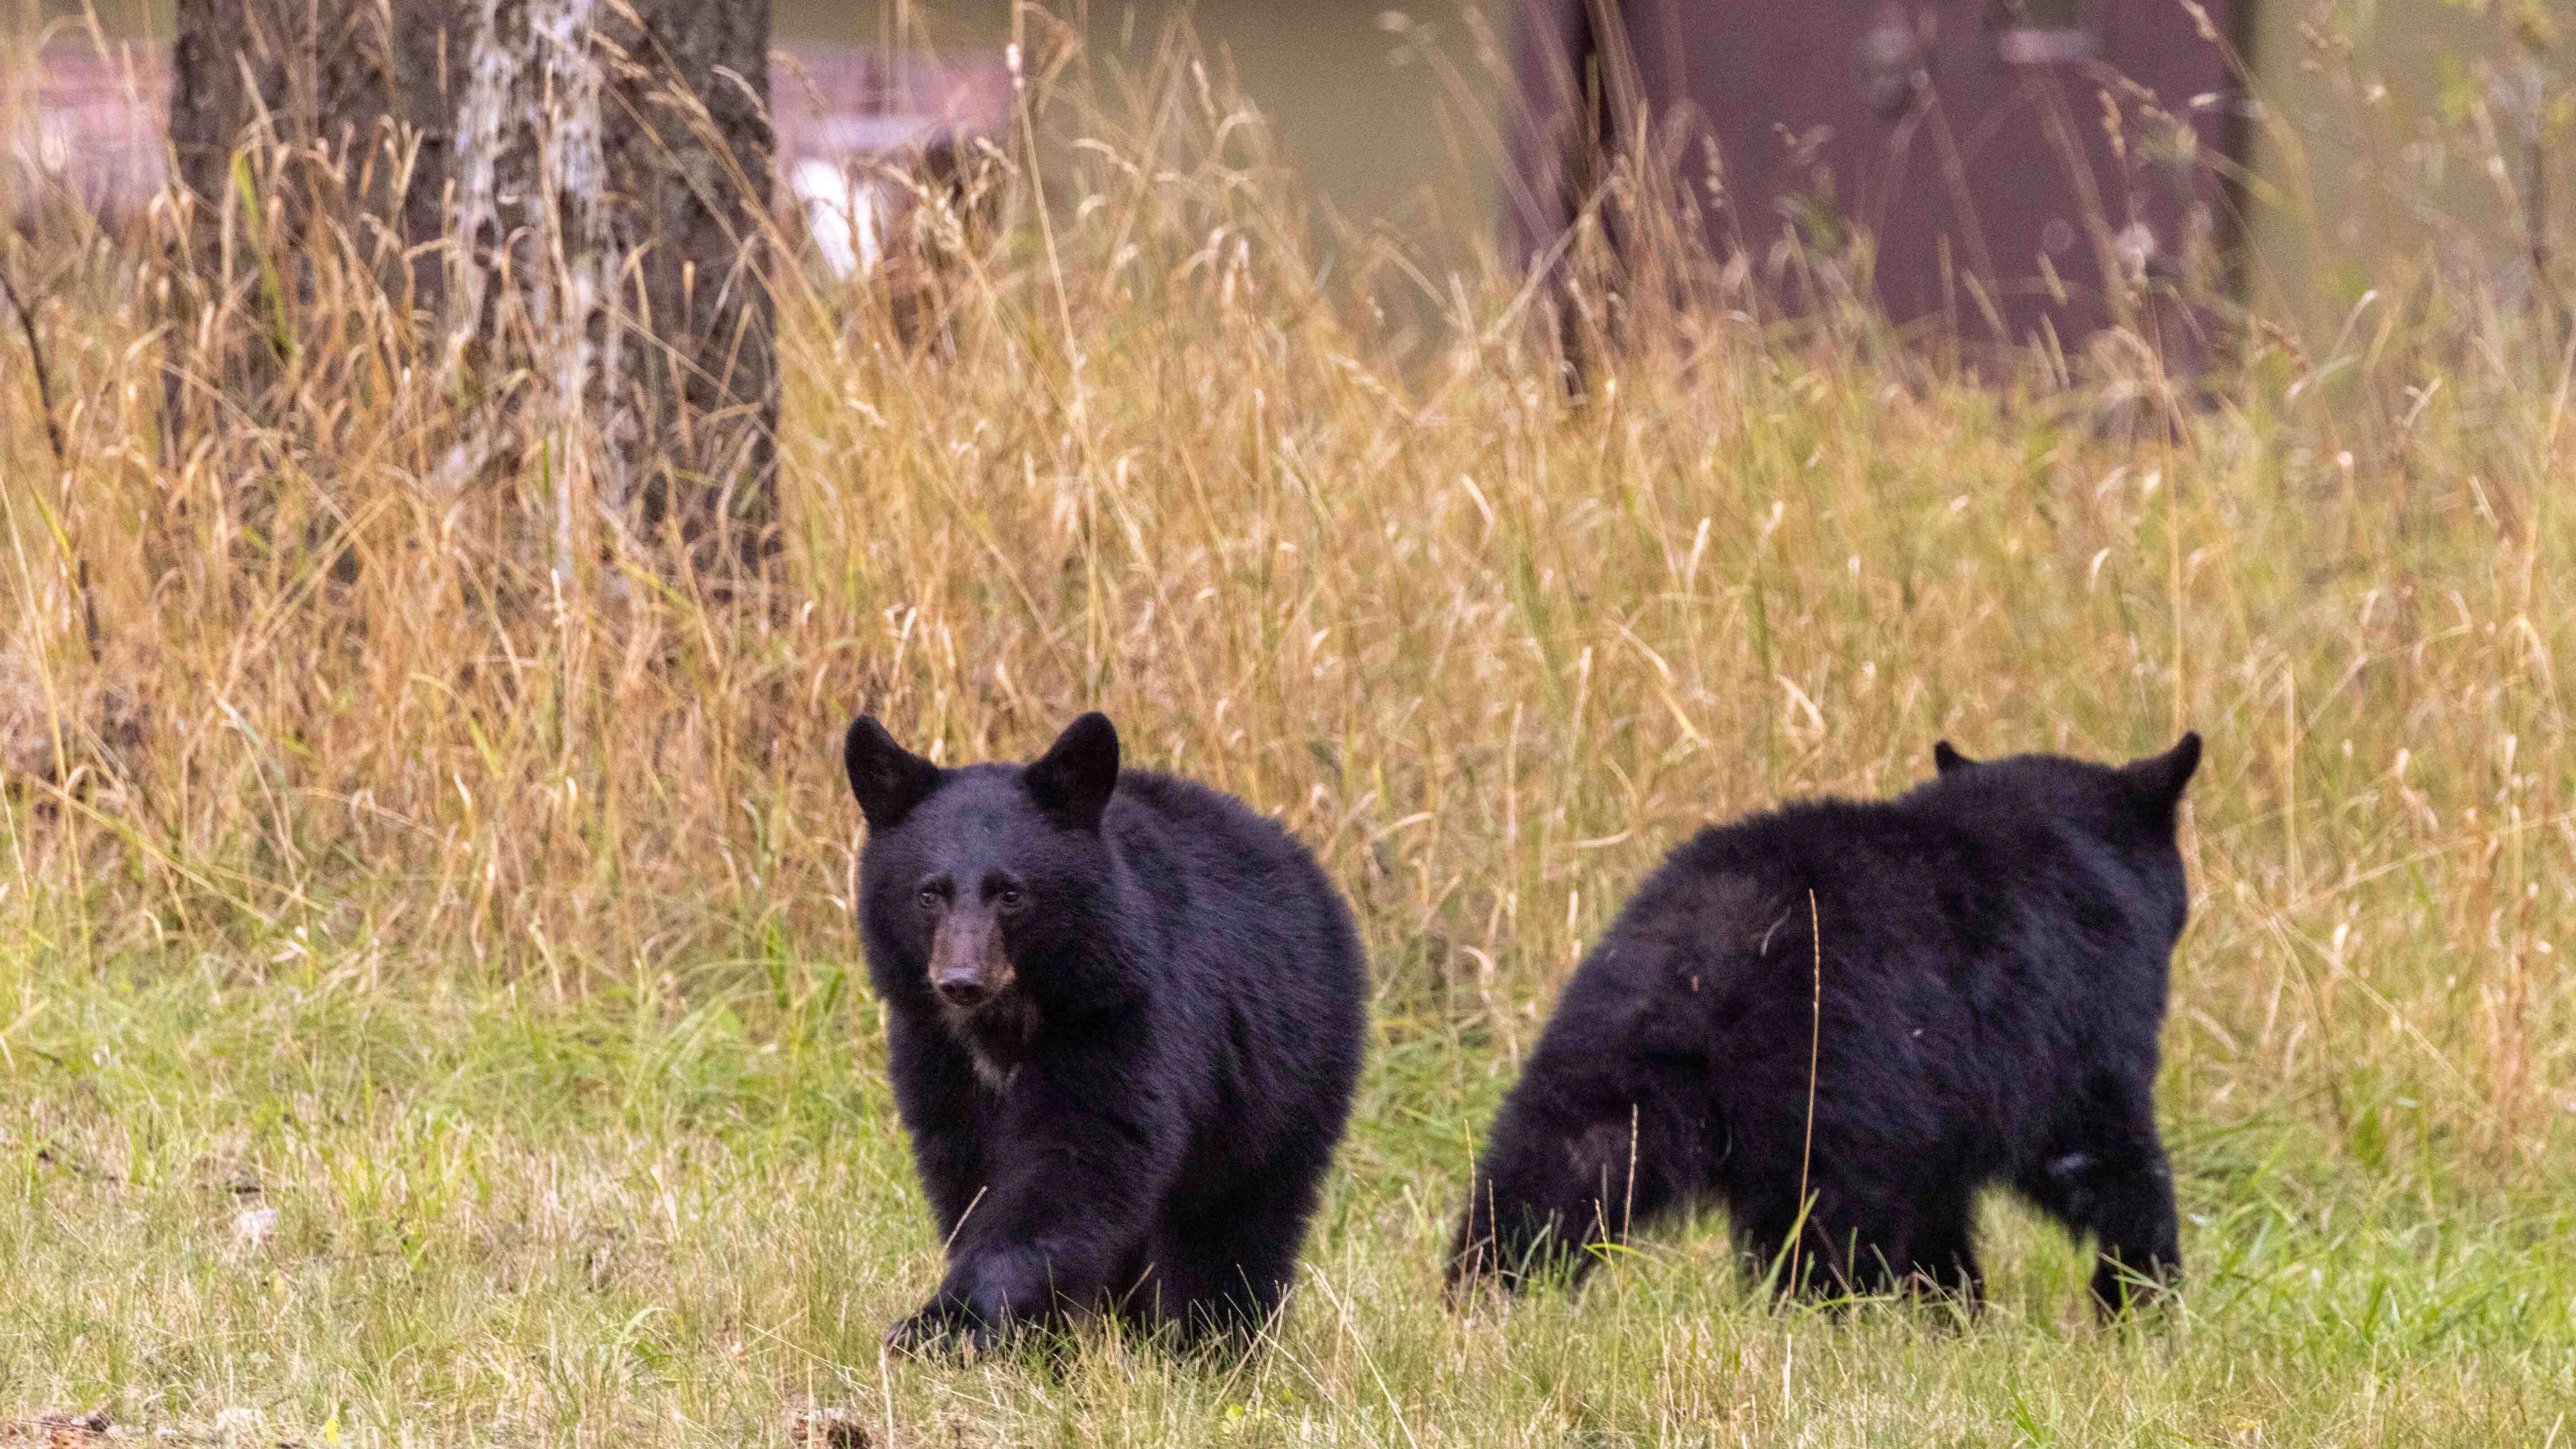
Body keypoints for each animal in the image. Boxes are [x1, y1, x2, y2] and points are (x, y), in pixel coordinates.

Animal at [842, 711, 1369, 1352]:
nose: (960, 981)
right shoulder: (935, 1051)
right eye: (928, 893)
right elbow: (967, 1175)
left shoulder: (1121, 1017)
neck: (1007, 1017)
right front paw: (1027, 1337)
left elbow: (1075, 1161)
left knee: (1235, 1219)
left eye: (1011, 893)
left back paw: (1218, 1344)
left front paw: (948, 1322)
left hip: (1283, 1070)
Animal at [1447, 733, 2200, 1316]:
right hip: (1835, 1085)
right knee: (1827, 1232)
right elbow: (2105, 1158)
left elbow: (1942, 1218)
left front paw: (1955, 1313)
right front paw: (2141, 1302)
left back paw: (1483, 1293)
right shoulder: (2070, 1032)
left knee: (1549, 1172)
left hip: (1604, 1051)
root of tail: (1706, 966)